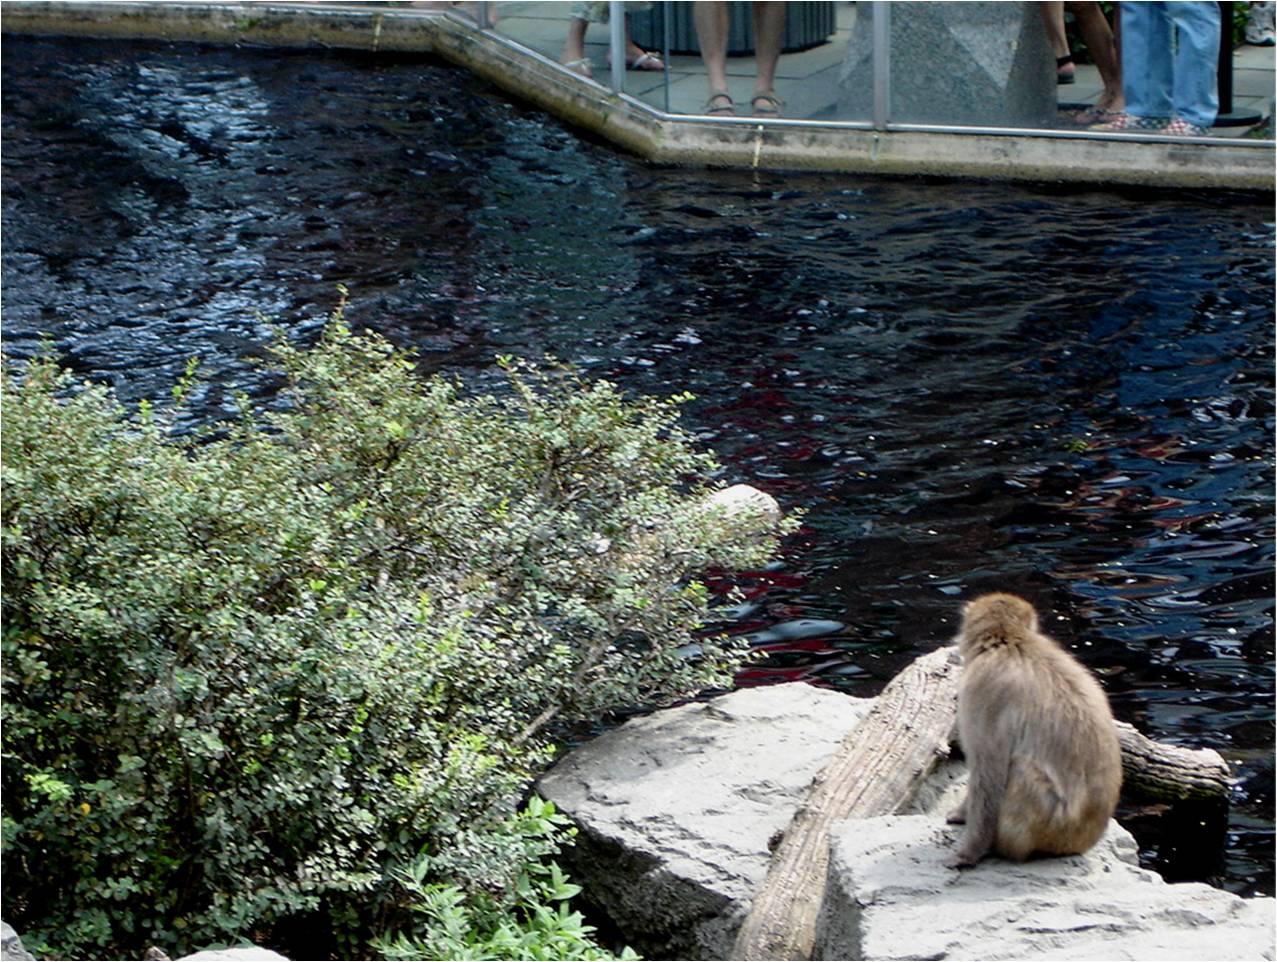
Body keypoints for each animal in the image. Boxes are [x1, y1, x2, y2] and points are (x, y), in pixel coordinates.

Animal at [945, 592, 1122, 869]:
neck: (1011, 640)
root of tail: (1081, 843)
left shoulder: (981, 689)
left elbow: (988, 771)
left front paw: (967, 852)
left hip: (1048, 827)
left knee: (1019, 770)